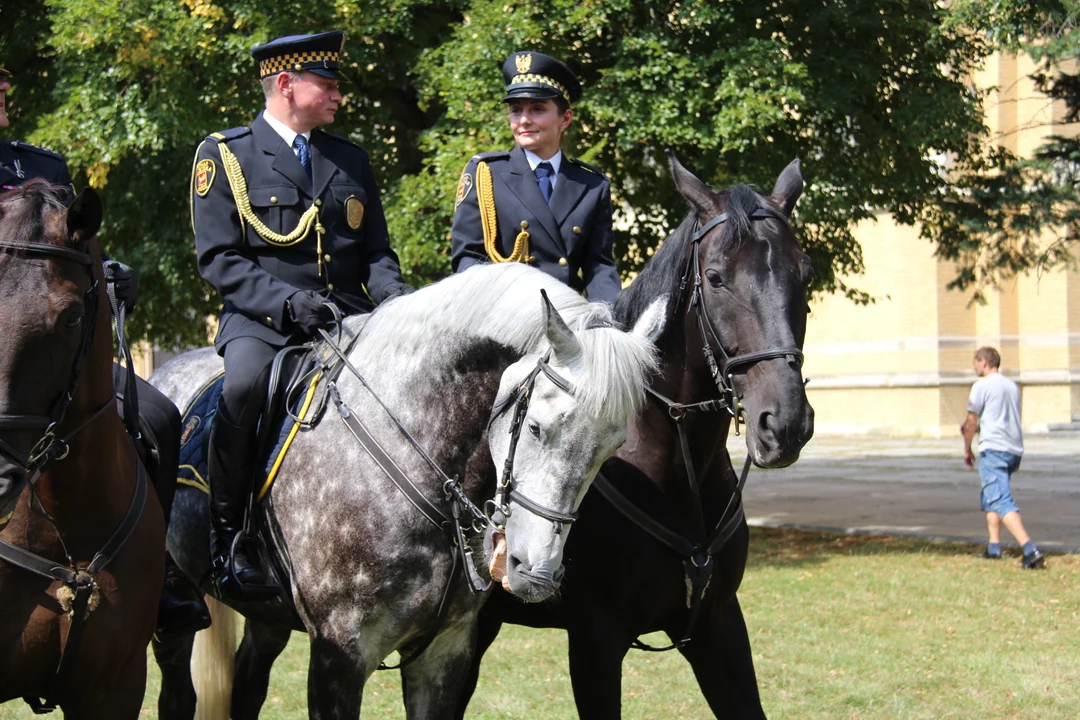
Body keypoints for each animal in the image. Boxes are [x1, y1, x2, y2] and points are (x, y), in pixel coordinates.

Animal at [149, 263, 660, 720]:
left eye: (613, 448)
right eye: (535, 427)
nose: (535, 572)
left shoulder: (444, 653)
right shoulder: (339, 655)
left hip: (268, 616)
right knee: (177, 695)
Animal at [457, 155, 816, 716]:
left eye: (807, 273)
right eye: (716, 278)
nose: (785, 423)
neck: (676, 476)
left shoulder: (718, 627)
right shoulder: (595, 643)